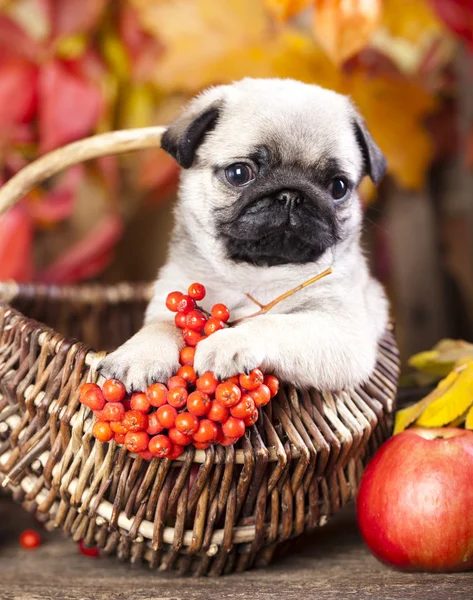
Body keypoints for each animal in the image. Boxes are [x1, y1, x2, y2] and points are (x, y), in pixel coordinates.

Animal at [98, 77, 388, 392]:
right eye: (239, 173)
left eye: (338, 187)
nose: (292, 195)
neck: (255, 271)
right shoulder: (169, 297)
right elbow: (160, 326)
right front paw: (139, 354)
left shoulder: (340, 330)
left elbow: (275, 324)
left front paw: (228, 342)